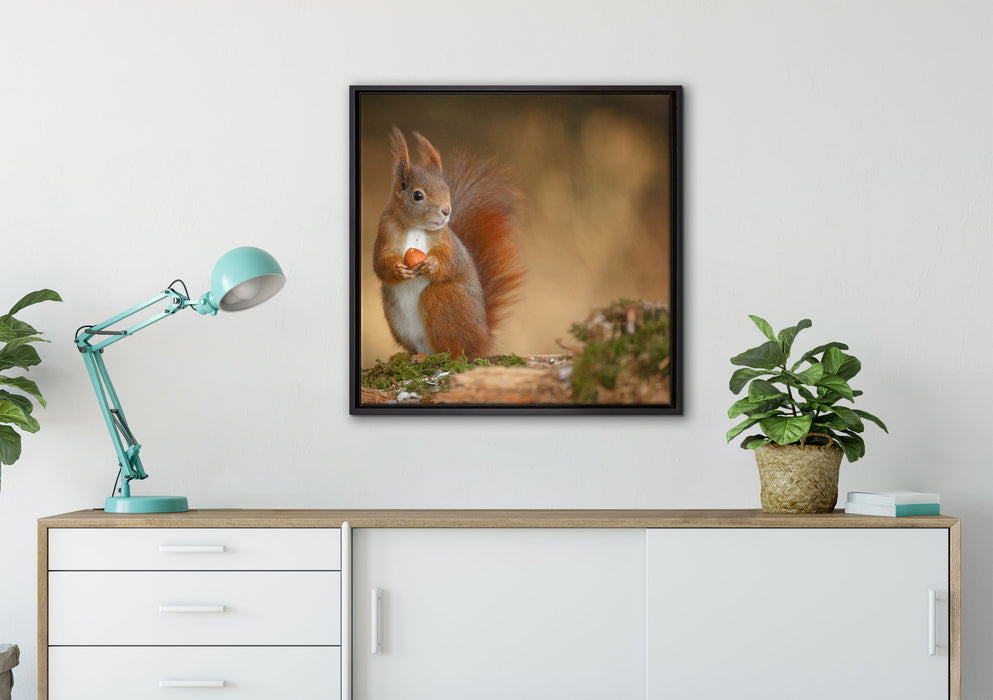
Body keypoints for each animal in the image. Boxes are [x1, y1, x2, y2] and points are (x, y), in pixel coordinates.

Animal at [373, 126, 524, 360]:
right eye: (418, 195)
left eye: (447, 190)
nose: (446, 211)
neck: (416, 227)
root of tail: (484, 341)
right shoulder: (386, 232)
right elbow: (381, 262)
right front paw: (399, 270)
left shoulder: (447, 240)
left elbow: (451, 260)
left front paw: (433, 264)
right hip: (395, 316)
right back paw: (417, 356)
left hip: (444, 298)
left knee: (456, 351)